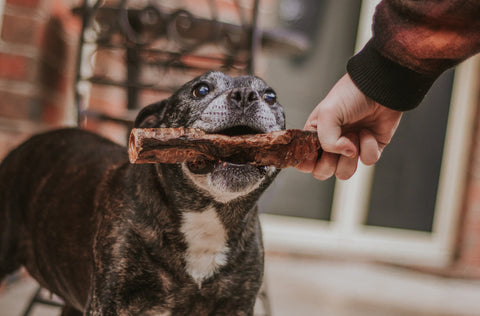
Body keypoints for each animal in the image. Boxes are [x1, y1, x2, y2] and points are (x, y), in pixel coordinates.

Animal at [0, 71, 284, 316]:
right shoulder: (109, 303)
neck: (206, 216)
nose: (245, 95)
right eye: (201, 89)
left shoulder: (236, 306)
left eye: (271, 96)